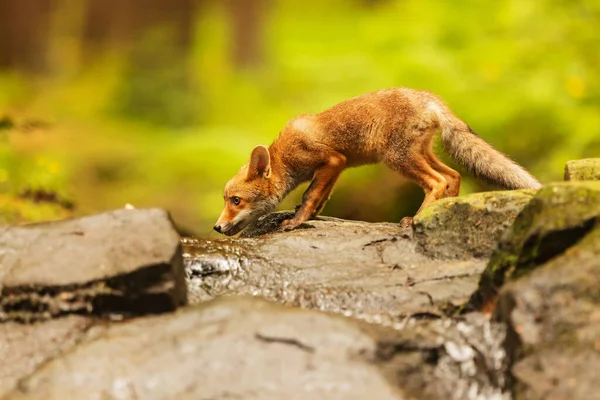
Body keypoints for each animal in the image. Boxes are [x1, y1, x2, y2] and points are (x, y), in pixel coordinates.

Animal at [213, 88, 540, 238]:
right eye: (227, 199)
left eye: (236, 200)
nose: (216, 227)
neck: (283, 155)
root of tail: (429, 98)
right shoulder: (338, 166)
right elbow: (320, 197)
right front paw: (309, 217)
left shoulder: (331, 159)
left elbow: (309, 196)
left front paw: (296, 221)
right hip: (420, 154)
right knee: (453, 176)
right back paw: (440, 212)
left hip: (397, 158)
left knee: (438, 181)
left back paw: (415, 219)